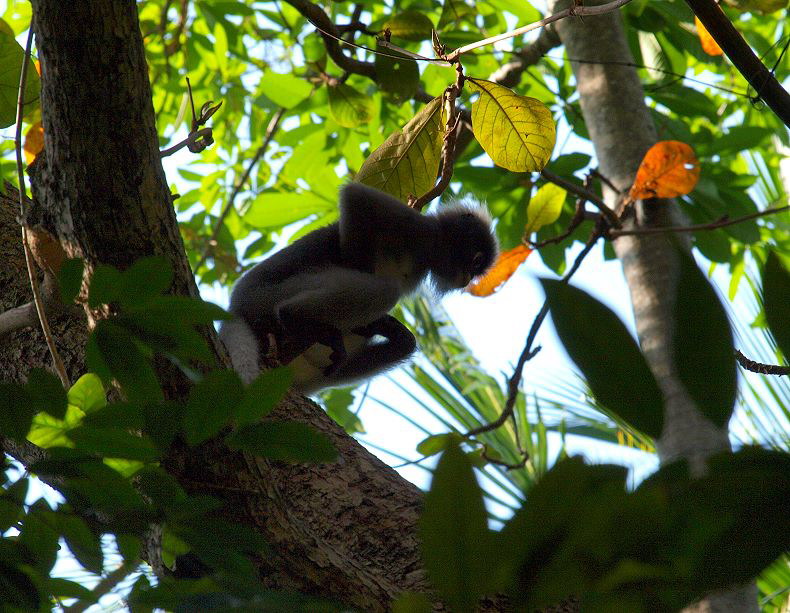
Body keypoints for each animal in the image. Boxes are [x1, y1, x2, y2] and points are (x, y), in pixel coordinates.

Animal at [220, 182, 498, 392]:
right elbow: (356, 196)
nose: (466, 279)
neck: (425, 254)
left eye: (476, 271)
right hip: (270, 296)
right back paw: (294, 316)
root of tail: (235, 306)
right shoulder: (420, 230)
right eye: (476, 261)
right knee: (385, 291)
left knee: (403, 343)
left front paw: (384, 325)